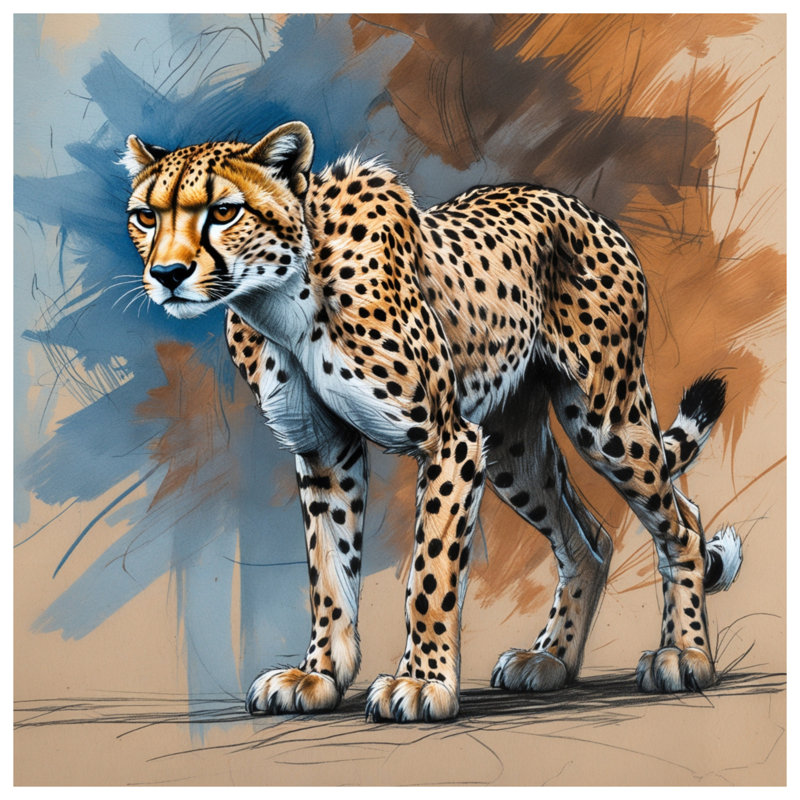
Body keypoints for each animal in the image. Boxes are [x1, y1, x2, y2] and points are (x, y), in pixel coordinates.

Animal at [123, 120, 743, 722]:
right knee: (591, 540)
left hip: (604, 417)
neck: (280, 297)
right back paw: (550, 660)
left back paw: (684, 654)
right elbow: (329, 570)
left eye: (224, 211)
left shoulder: (451, 442)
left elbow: (430, 573)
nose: (169, 273)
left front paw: (422, 682)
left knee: (682, 523)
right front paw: (319, 674)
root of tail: (578, 205)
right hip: (512, 446)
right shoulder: (326, 450)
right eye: (146, 216)